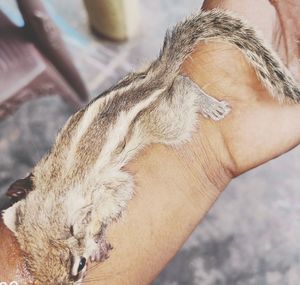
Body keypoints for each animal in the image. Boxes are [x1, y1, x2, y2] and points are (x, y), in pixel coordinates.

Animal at [2, 9, 300, 284]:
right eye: (34, 270)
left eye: (79, 266)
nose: (77, 277)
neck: (54, 193)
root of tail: (154, 78)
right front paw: (18, 188)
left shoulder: (107, 185)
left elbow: (118, 196)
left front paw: (97, 239)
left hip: (166, 122)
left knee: (182, 83)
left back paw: (204, 101)